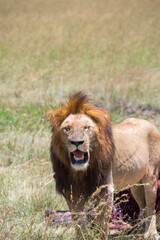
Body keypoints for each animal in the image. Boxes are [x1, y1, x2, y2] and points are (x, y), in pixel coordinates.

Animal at [46, 92, 160, 240]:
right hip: (135, 184)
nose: (77, 142)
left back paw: (151, 233)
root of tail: (149, 123)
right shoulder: (72, 190)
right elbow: (78, 221)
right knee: (143, 206)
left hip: (150, 179)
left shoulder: (105, 188)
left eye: (86, 128)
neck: (80, 172)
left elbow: (102, 222)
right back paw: (139, 230)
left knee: (151, 207)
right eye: (67, 128)